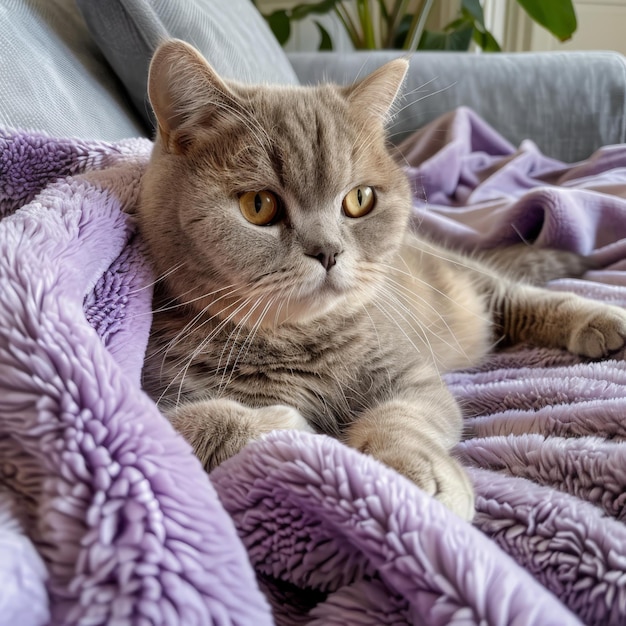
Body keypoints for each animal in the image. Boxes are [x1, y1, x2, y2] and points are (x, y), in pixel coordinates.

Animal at [136, 36, 624, 520]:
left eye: (359, 199)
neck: (297, 341)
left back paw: (601, 321)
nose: (328, 251)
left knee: (521, 297)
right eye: (259, 205)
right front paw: (280, 423)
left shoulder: (412, 376)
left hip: (472, 281)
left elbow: (406, 418)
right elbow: (181, 428)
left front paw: (412, 477)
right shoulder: (153, 389)